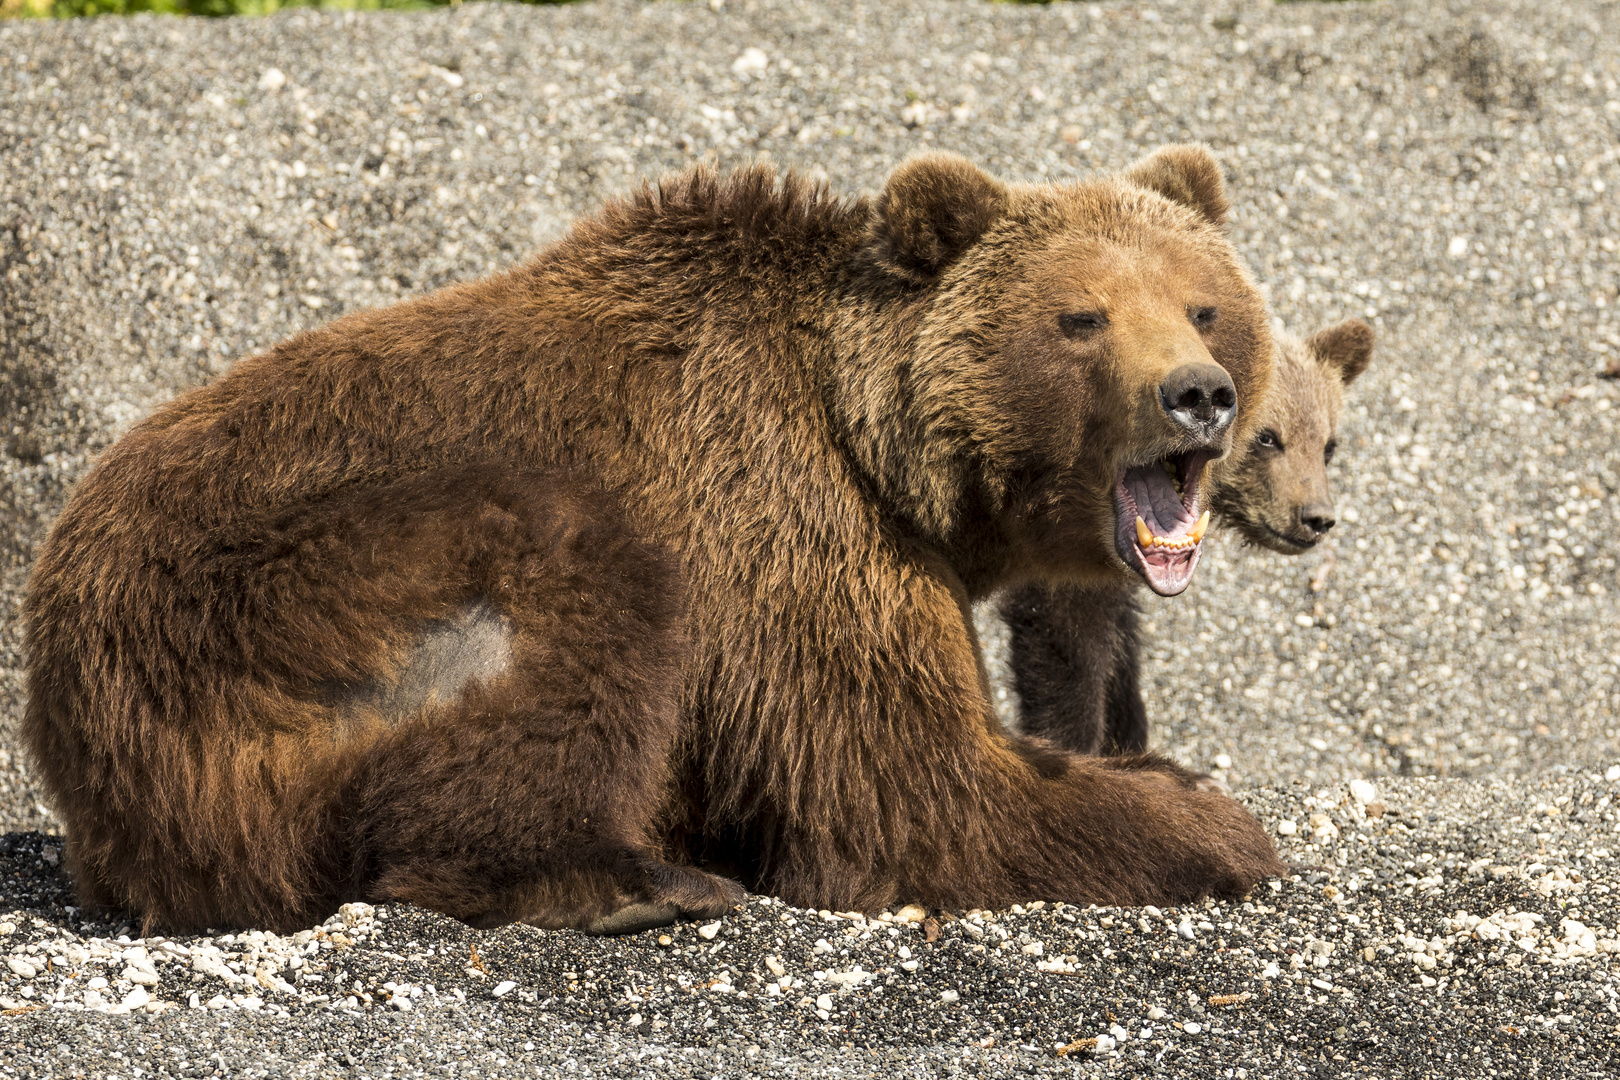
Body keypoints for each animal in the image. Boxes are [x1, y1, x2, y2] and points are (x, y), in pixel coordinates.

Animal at [25, 145, 1283, 939]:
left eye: (1204, 304)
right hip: (282, 601)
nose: (1196, 394)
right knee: (568, 587)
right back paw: (634, 880)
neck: (878, 441)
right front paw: (1215, 823)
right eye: (1082, 318)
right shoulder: (783, 512)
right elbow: (907, 784)